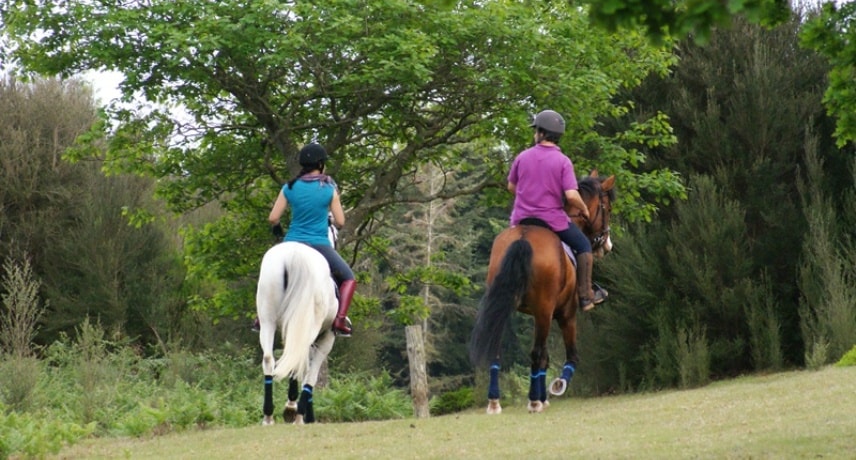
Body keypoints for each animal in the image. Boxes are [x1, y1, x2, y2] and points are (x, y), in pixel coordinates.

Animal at [256, 243, 336, 426]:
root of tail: (295, 254)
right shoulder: (327, 338)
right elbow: (311, 375)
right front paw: (302, 414)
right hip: (309, 327)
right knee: (297, 360)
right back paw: (292, 409)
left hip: (268, 321)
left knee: (269, 359)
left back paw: (268, 415)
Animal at [468, 171, 616, 416]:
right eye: (608, 208)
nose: (607, 245)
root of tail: (523, 238)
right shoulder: (566, 314)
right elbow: (570, 355)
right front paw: (556, 386)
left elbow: (546, 357)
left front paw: (544, 396)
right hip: (545, 311)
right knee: (537, 353)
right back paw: (534, 401)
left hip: (505, 305)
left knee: (498, 350)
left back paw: (495, 401)